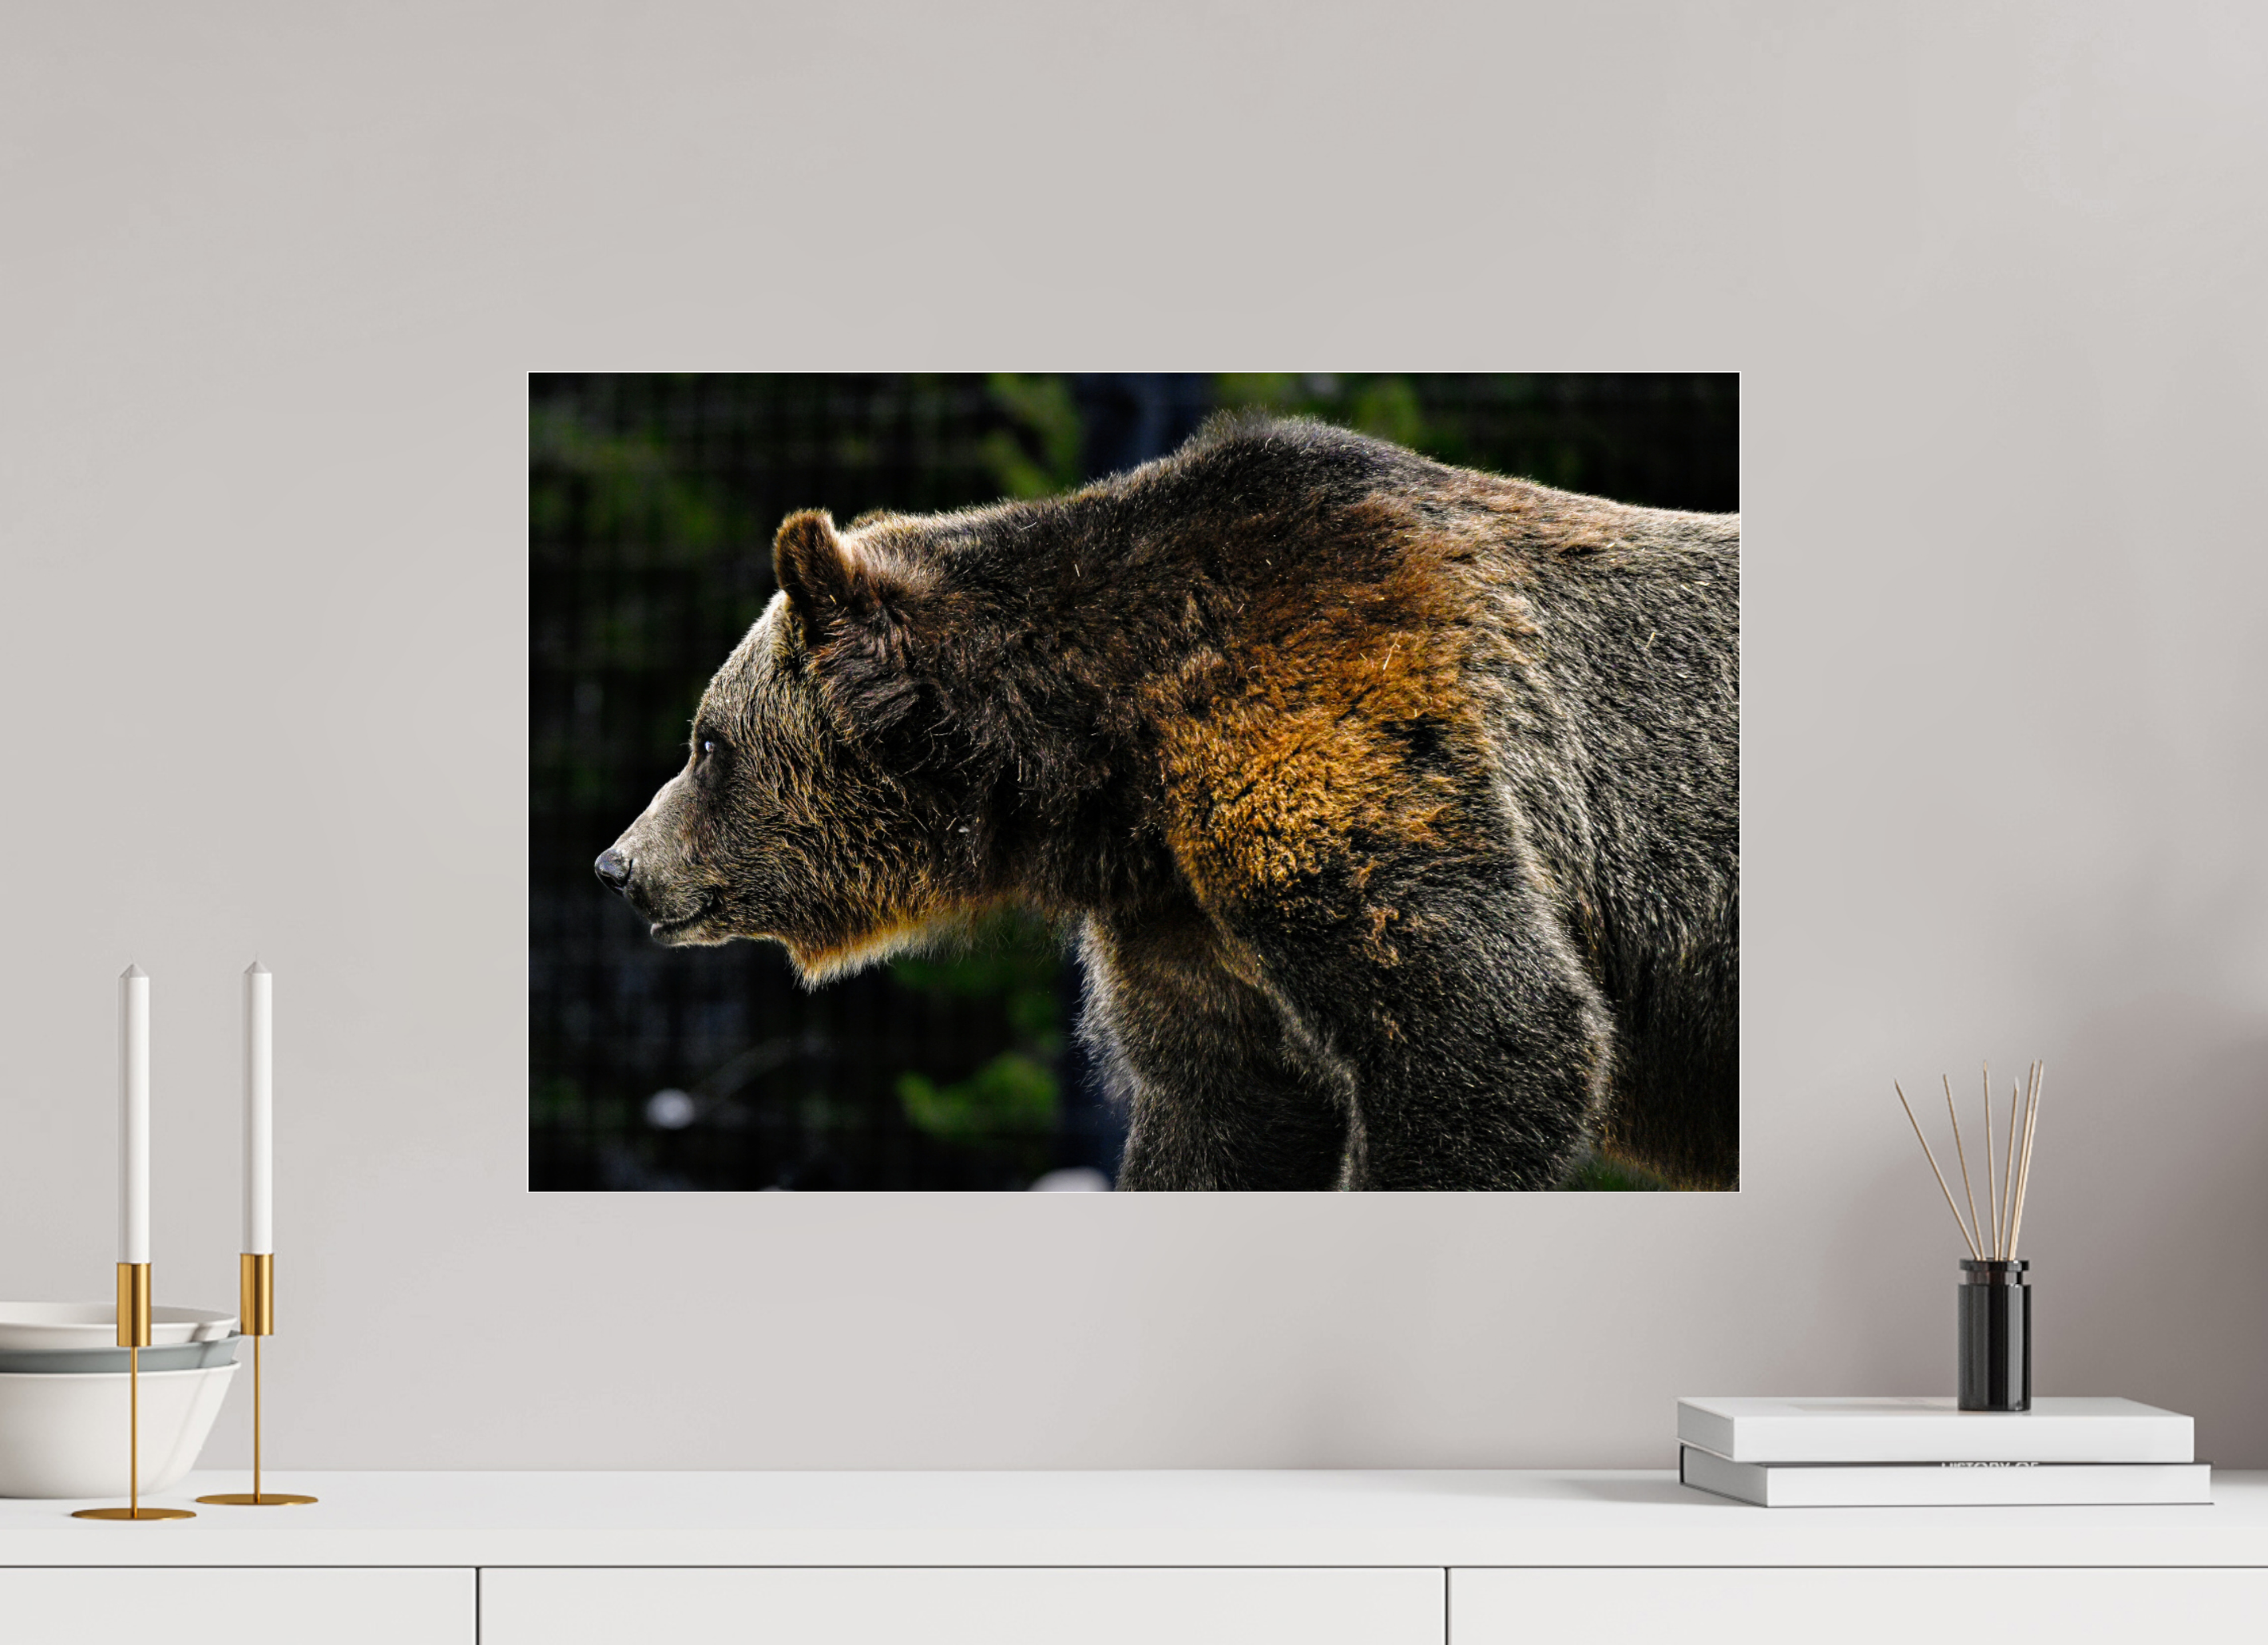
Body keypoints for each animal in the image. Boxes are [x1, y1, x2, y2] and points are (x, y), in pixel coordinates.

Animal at [595, 414, 1739, 1191]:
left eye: (707, 743)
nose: (618, 864)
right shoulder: (1181, 916)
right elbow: (1219, 1109)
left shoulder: (1331, 744)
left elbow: (1490, 1035)